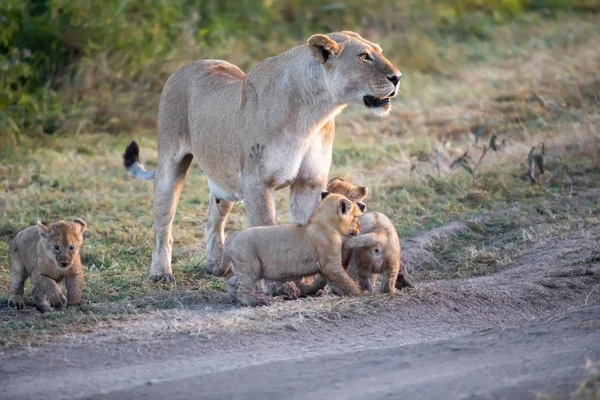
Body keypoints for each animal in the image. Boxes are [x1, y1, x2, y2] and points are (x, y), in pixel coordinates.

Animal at [123, 30, 400, 282]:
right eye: (364, 56)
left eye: (381, 52)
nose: (397, 77)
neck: (313, 113)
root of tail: (186, 66)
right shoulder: (257, 182)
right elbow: (265, 228)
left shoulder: (309, 183)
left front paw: (308, 281)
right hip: (171, 163)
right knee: (163, 223)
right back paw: (161, 273)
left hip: (226, 182)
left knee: (213, 219)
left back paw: (216, 266)